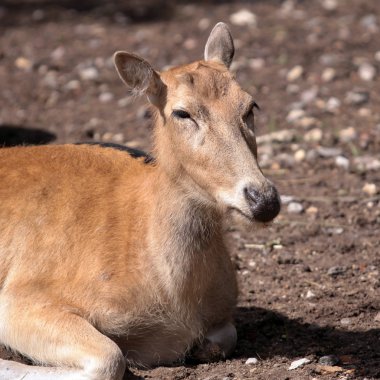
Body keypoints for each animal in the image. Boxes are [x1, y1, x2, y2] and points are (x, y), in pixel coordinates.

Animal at [0, 23, 280, 380]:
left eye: (250, 106)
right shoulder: (21, 298)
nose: (264, 199)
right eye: (182, 112)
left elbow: (224, 338)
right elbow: (110, 358)